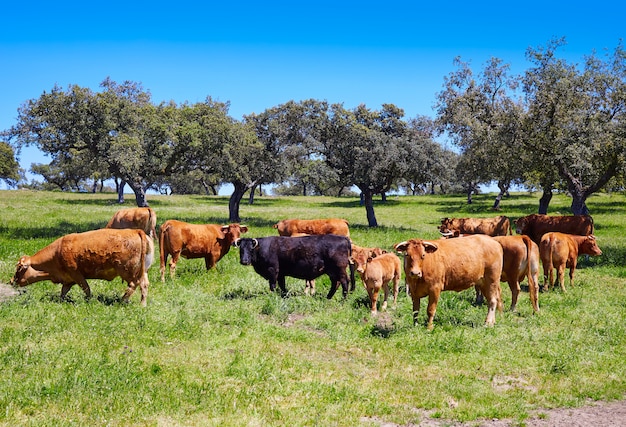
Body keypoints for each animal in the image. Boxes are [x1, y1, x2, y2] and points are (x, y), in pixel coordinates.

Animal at [10, 229, 154, 306]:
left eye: (18, 268)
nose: (11, 281)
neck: (57, 251)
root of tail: (136, 231)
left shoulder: (77, 275)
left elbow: (86, 289)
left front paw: (89, 301)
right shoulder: (68, 279)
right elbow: (63, 291)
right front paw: (60, 301)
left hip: (127, 271)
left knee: (134, 284)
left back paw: (122, 300)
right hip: (143, 271)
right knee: (144, 284)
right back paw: (142, 304)